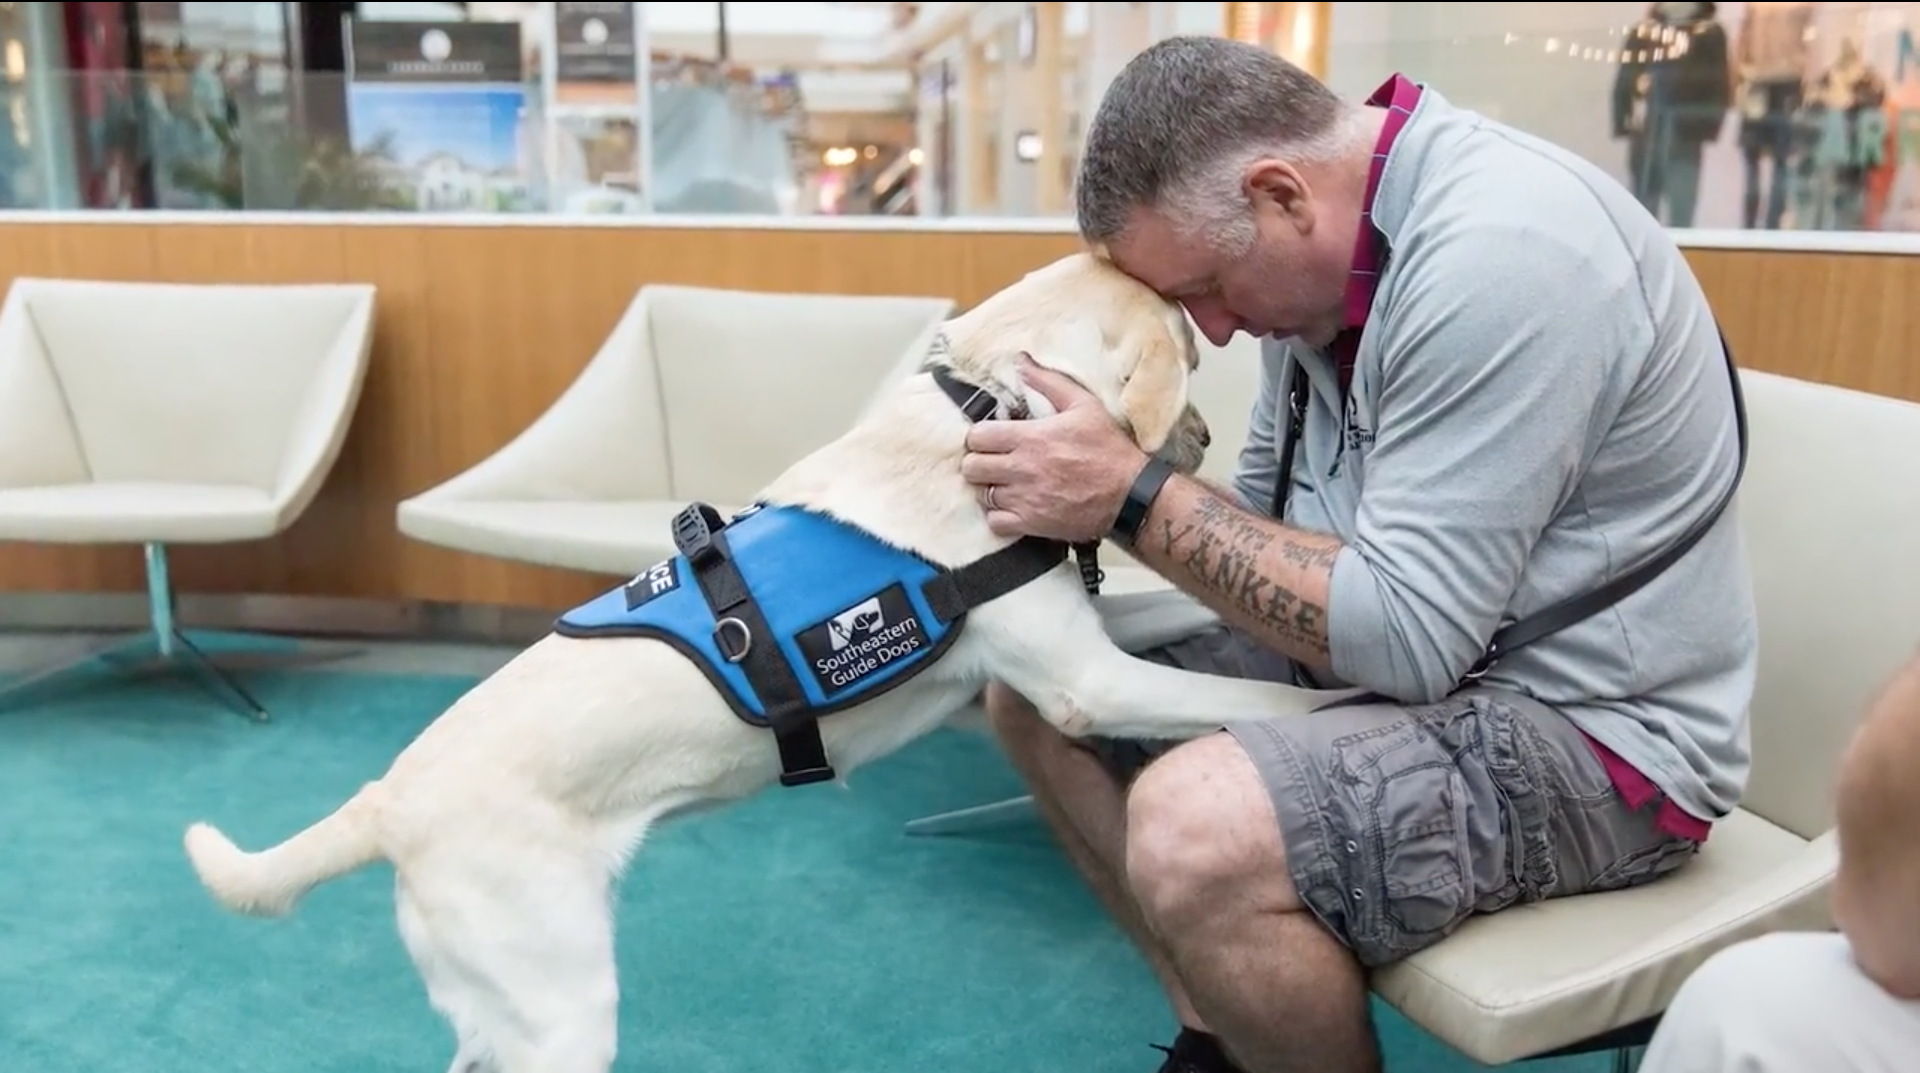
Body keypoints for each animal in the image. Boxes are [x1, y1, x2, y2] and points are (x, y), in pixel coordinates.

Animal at [180, 253, 1351, 1073]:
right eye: (1191, 355)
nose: (1206, 439)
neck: (979, 409)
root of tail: (388, 796)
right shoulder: (1088, 679)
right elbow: (1254, 694)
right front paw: (1357, 693)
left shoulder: (1087, 640)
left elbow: (1196, 629)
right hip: (562, 1006)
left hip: (507, 1008)